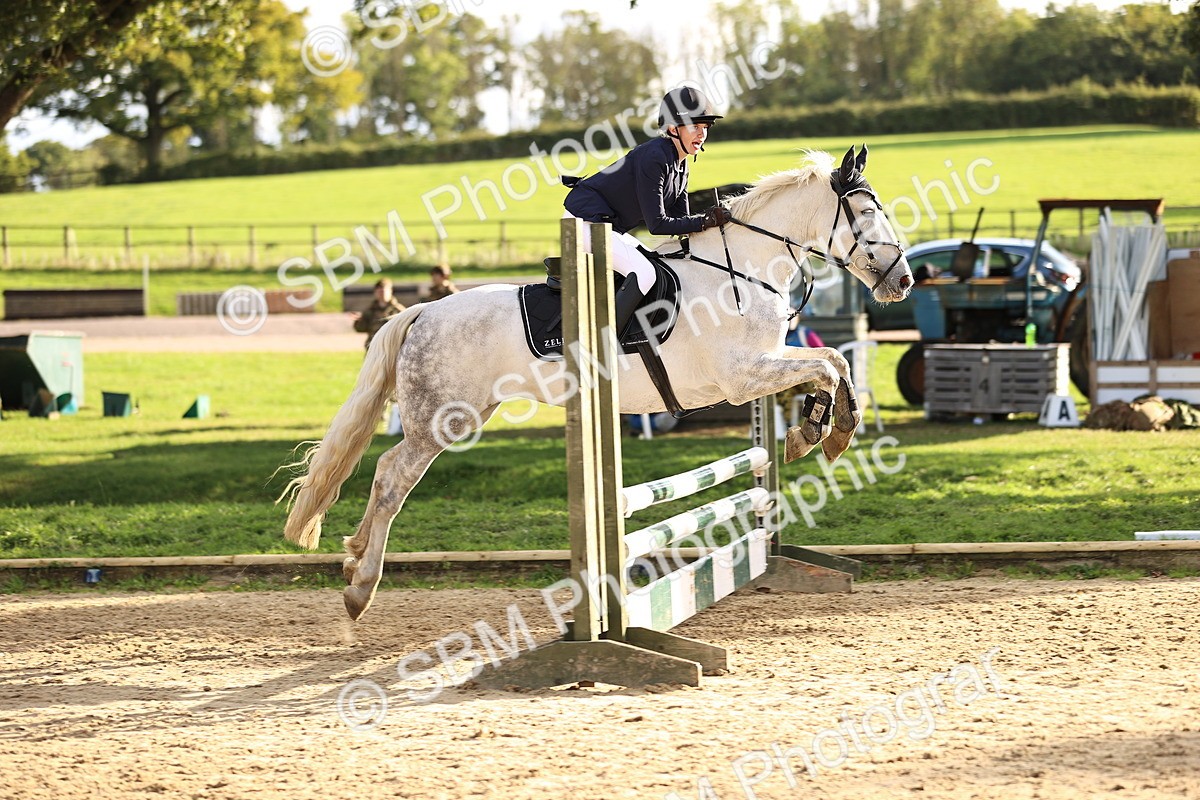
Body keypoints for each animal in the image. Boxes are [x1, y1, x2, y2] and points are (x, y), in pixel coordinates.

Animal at [281, 145, 913, 621]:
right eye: (866, 213)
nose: (903, 280)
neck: (744, 268)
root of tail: (422, 312)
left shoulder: (767, 362)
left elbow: (833, 362)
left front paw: (819, 429)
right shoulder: (742, 376)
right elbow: (827, 365)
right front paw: (825, 432)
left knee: (386, 474)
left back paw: (353, 558)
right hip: (444, 419)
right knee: (392, 477)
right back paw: (360, 585)